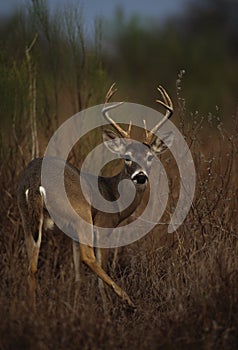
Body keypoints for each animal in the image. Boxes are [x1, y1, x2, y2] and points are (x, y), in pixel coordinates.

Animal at [16, 83, 173, 310]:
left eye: (150, 157)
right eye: (127, 157)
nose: (141, 176)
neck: (113, 195)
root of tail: (34, 181)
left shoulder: (70, 232)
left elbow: (76, 275)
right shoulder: (103, 225)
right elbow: (97, 265)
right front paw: (107, 308)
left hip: (27, 217)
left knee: (32, 266)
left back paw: (31, 307)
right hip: (80, 213)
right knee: (87, 257)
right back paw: (128, 300)